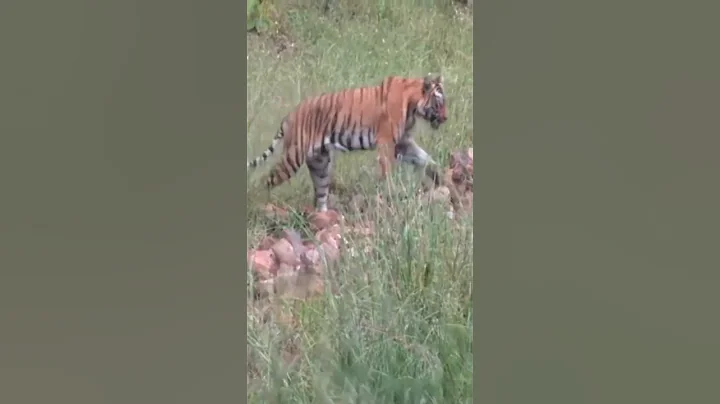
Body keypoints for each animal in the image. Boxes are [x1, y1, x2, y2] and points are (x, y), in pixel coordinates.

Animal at [247, 74, 448, 212]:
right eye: (439, 103)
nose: (446, 118)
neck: (413, 107)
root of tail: (289, 116)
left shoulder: (403, 143)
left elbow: (425, 158)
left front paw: (440, 174)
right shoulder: (386, 143)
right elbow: (388, 172)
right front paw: (392, 192)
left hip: (321, 163)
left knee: (321, 193)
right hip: (293, 158)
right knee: (267, 181)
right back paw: (262, 204)